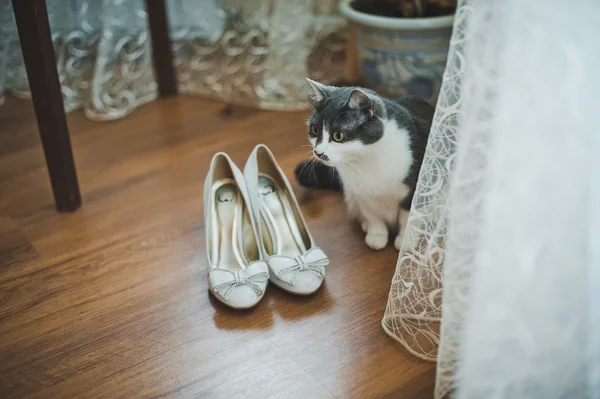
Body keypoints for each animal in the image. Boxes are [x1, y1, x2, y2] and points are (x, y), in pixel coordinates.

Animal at [298, 79, 432, 252]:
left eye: (338, 136)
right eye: (314, 130)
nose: (318, 152)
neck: (365, 160)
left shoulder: (418, 186)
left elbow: (408, 215)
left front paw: (405, 242)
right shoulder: (360, 191)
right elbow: (371, 215)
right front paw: (376, 235)